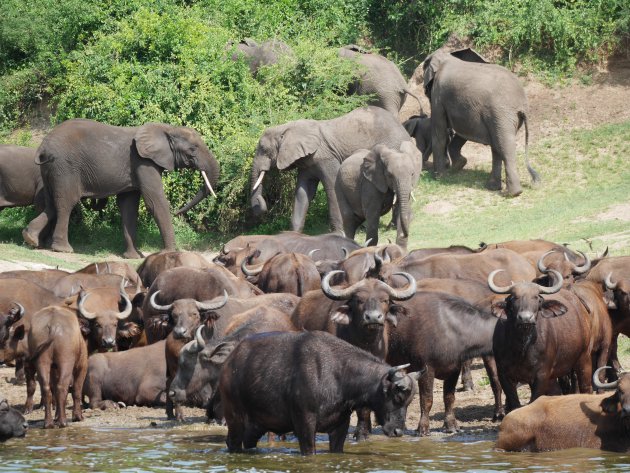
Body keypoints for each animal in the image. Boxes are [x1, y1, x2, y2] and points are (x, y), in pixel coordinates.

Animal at [23, 118, 221, 258]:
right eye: (193, 149)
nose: (178, 212)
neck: (166, 128)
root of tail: (42, 146)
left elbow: (128, 207)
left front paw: (133, 257)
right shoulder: (143, 162)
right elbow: (155, 201)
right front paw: (170, 253)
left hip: (50, 169)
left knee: (51, 204)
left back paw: (30, 238)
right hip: (64, 167)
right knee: (66, 203)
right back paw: (63, 249)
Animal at [220, 328, 422, 454]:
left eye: (409, 401)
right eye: (398, 394)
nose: (398, 431)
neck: (340, 375)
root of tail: (229, 362)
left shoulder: (340, 426)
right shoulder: (305, 423)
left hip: (256, 425)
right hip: (235, 418)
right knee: (232, 442)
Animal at [249, 106, 412, 233]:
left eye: (263, 150)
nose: (261, 202)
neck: (285, 128)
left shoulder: (326, 158)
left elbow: (332, 187)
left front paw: (339, 233)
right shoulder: (307, 163)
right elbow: (303, 192)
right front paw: (293, 235)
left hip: (394, 147)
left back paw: (393, 227)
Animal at [422, 47, 540, 195]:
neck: (447, 56)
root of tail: (522, 103)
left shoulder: (438, 95)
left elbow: (440, 133)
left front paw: (439, 177)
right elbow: (461, 130)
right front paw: (459, 165)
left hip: (501, 113)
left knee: (505, 146)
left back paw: (512, 193)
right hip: (503, 117)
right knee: (497, 146)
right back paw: (494, 187)